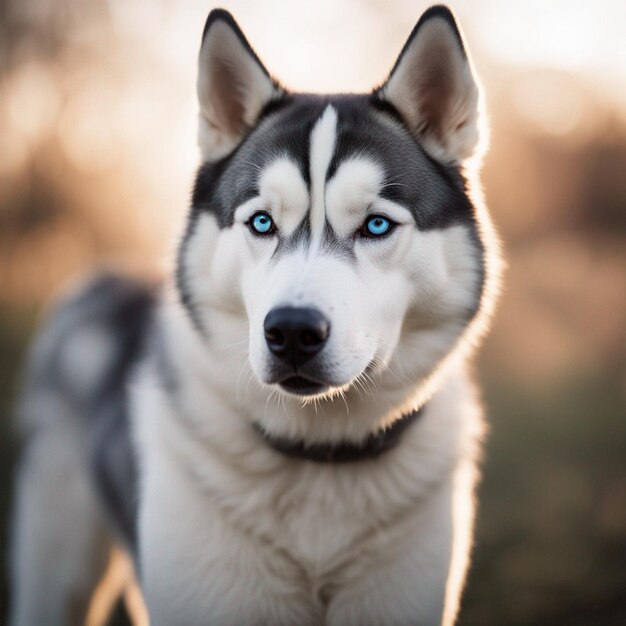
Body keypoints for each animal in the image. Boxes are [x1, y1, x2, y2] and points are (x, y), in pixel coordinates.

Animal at [8, 6, 498, 624]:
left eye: (376, 225)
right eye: (262, 222)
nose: (292, 331)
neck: (319, 459)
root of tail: (100, 279)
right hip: (58, 568)